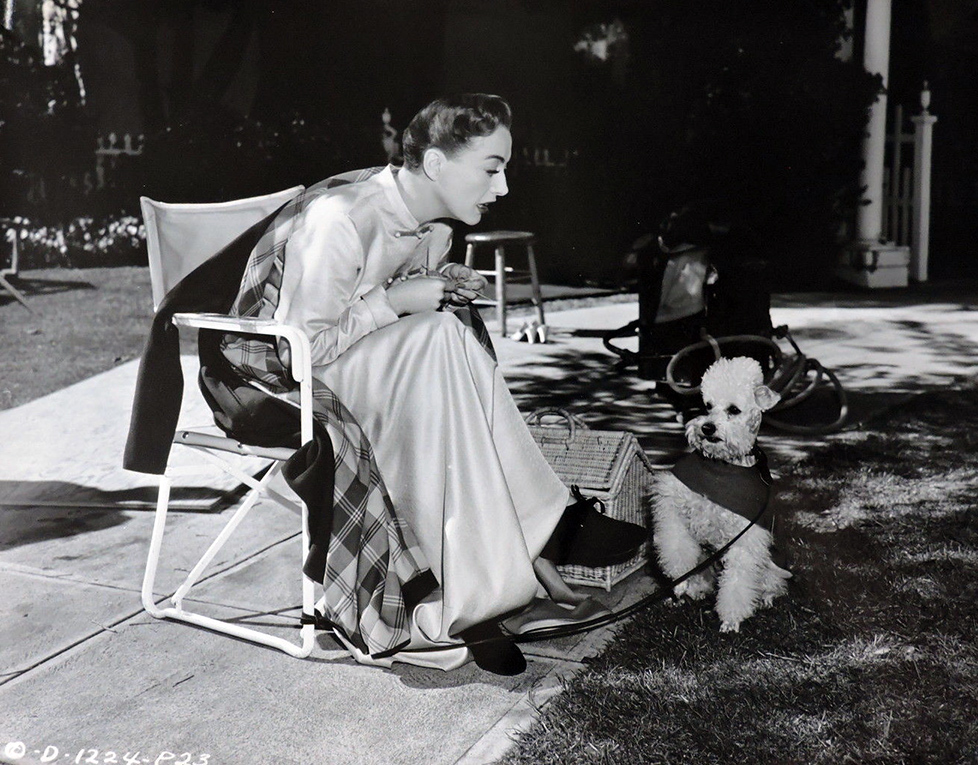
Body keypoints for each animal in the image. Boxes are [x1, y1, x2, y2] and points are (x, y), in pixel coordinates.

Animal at [652, 358, 788, 632]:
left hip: (769, 564)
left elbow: (737, 583)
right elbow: (676, 545)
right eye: (708, 405)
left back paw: (767, 597)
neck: (723, 466)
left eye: (734, 410)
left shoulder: (746, 537)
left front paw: (730, 620)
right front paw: (679, 583)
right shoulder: (674, 502)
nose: (707, 428)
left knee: (772, 582)